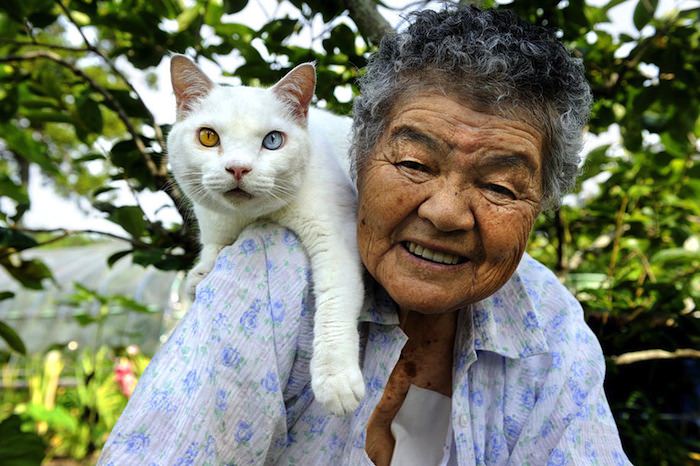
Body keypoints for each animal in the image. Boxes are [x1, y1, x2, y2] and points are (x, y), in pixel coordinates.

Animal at [168, 54, 366, 416]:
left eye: (273, 141)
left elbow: (335, 302)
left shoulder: (335, 235)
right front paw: (199, 274)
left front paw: (335, 380)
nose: (238, 168)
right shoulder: (214, 222)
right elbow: (213, 246)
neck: (252, 216)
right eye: (208, 137)